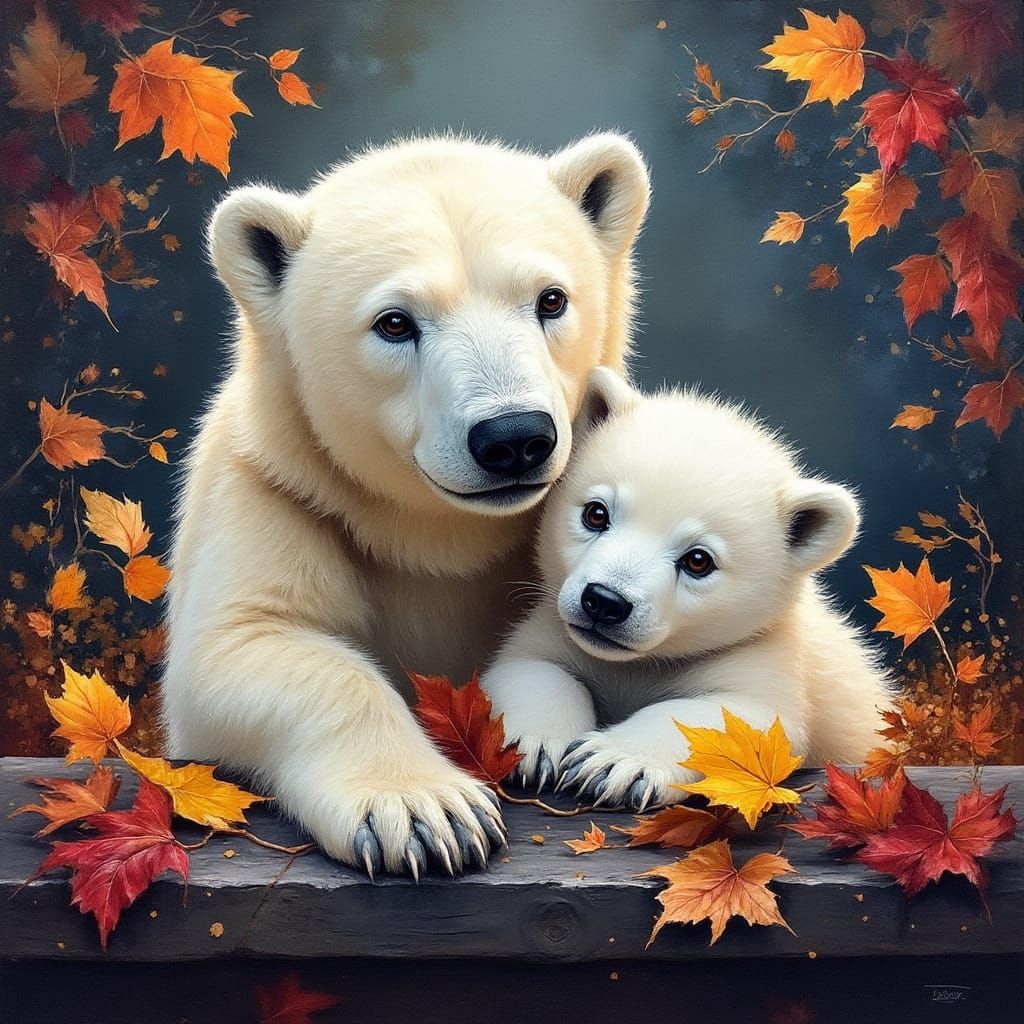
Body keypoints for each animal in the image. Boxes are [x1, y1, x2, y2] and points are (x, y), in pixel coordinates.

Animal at [161, 134, 651, 876]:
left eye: (551, 298)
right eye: (394, 322)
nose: (514, 438)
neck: (437, 536)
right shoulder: (278, 490)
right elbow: (239, 644)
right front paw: (427, 813)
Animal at [481, 368, 893, 810]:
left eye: (698, 560)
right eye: (596, 513)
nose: (605, 602)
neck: (638, 662)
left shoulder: (762, 655)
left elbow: (737, 717)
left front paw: (612, 763)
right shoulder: (556, 629)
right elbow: (530, 666)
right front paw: (535, 746)